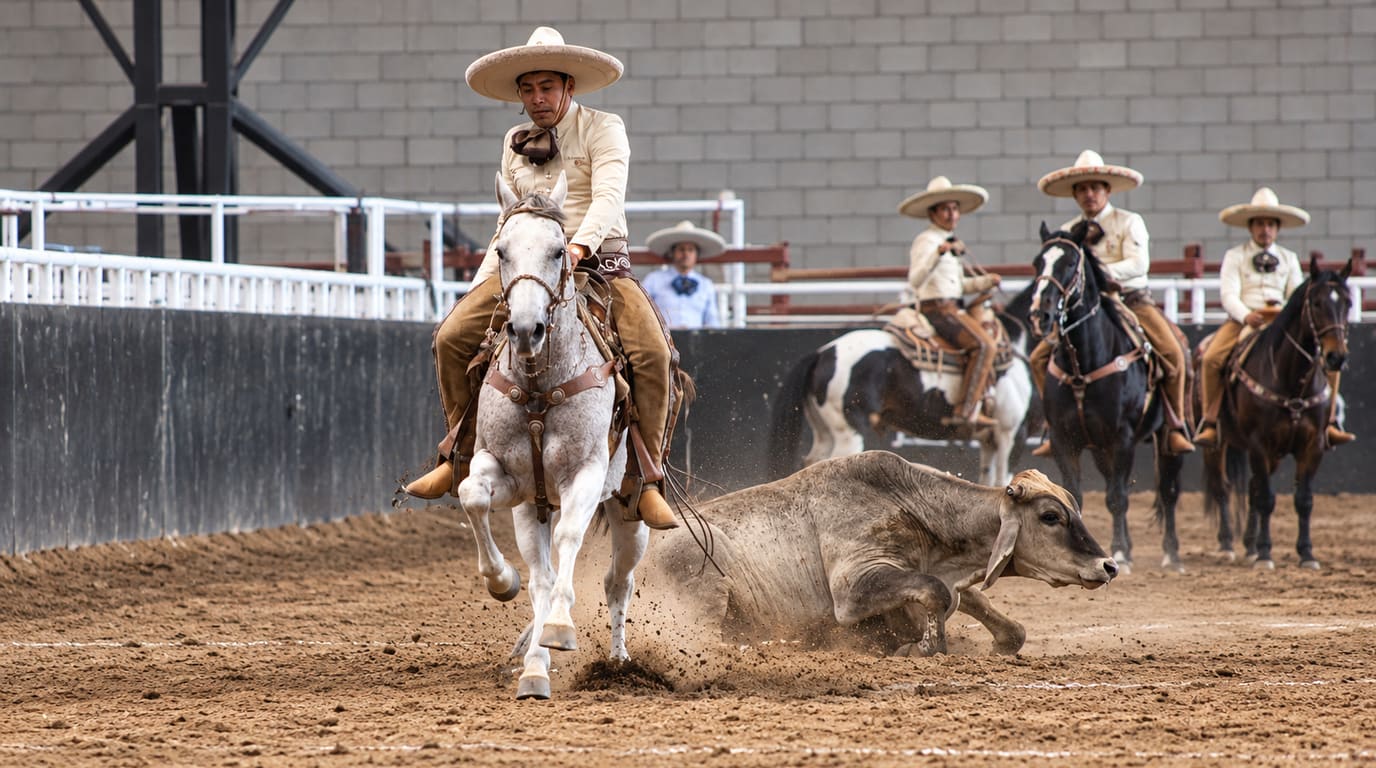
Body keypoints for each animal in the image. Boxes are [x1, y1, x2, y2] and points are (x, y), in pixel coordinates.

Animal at [455, 171, 643, 700]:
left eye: (560, 251)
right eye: (501, 250)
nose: (525, 329)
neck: (541, 386)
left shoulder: (585, 474)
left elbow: (570, 537)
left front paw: (559, 628)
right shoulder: (511, 480)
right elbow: (472, 494)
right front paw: (502, 582)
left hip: (632, 511)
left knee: (617, 580)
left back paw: (617, 662)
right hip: (532, 507)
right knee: (545, 574)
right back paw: (535, 662)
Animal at [642, 451, 1117, 656]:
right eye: (1051, 516)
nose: (1108, 565)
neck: (912, 505)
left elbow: (980, 607)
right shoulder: (854, 587)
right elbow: (935, 594)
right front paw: (924, 646)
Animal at [768, 282, 1037, 488]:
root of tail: (822, 353)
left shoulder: (989, 440)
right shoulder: (1011, 433)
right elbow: (1003, 482)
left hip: (824, 429)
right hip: (849, 432)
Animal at [1200, 257, 1353, 570]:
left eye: (1348, 302)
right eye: (1316, 303)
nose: (1336, 357)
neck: (1292, 381)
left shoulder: (1312, 445)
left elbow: (1303, 500)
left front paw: (1306, 554)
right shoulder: (1260, 443)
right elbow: (1266, 499)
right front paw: (1265, 554)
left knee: (1252, 487)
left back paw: (1248, 545)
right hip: (1217, 444)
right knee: (1222, 487)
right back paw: (1227, 545)